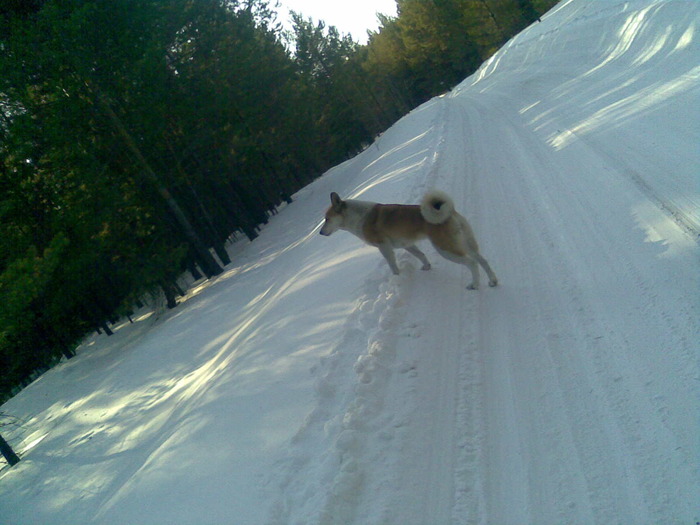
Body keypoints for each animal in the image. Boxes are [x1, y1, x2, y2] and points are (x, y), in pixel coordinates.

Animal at [318, 188, 498, 288]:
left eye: (327, 219)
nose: (320, 233)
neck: (359, 217)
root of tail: (450, 212)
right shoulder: (407, 244)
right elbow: (421, 255)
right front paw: (427, 267)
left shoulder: (384, 248)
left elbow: (393, 266)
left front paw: (397, 278)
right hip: (466, 243)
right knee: (482, 260)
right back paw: (493, 281)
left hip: (446, 249)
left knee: (472, 263)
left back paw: (474, 284)